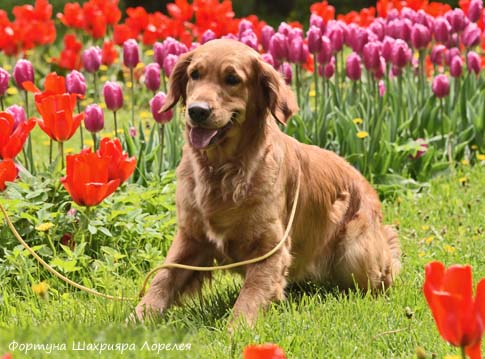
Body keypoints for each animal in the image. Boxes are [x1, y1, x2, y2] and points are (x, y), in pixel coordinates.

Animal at [135, 39, 400, 326]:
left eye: (232, 79)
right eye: (195, 74)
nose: (197, 111)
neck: (222, 171)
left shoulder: (271, 248)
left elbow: (249, 298)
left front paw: (235, 331)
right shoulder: (190, 238)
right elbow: (162, 279)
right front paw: (137, 319)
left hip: (355, 252)